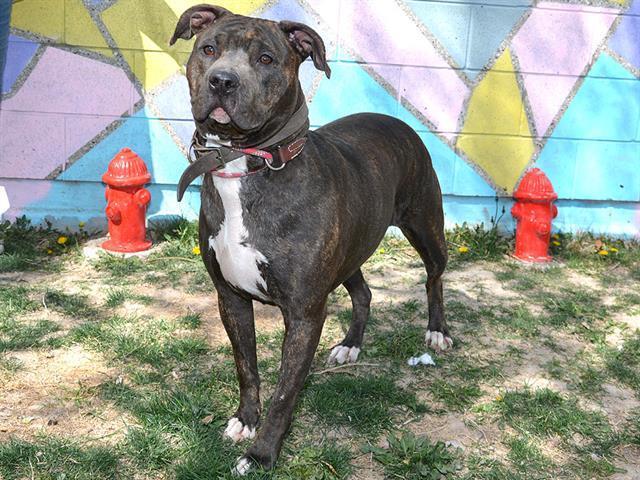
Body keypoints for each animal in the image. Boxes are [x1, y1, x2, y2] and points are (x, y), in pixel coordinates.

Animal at [170, 3, 450, 474]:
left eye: (266, 58)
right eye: (209, 49)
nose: (222, 81)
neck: (247, 164)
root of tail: (397, 121)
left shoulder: (304, 312)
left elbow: (286, 391)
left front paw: (262, 453)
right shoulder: (231, 298)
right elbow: (246, 367)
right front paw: (246, 420)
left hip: (426, 228)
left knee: (434, 278)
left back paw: (437, 331)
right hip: (351, 250)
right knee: (364, 292)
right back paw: (351, 346)